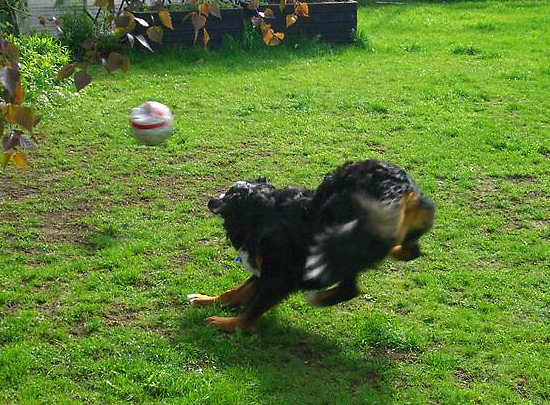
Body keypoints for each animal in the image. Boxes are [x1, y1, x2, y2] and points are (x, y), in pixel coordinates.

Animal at [187, 159, 435, 332]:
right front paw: (206, 300)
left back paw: (318, 298)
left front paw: (228, 323)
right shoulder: (266, 269)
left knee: (349, 288)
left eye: (230, 195)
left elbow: (254, 306)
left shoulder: (279, 273)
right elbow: (236, 291)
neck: (263, 213)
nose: (210, 200)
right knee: (408, 251)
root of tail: (401, 191)